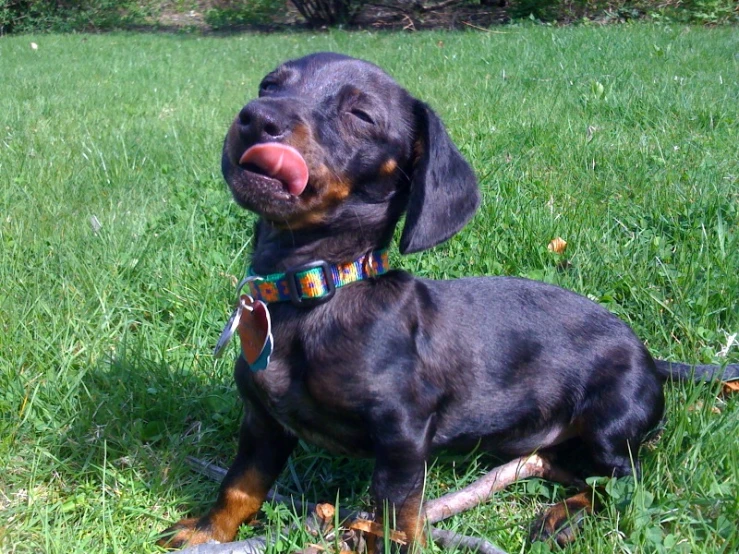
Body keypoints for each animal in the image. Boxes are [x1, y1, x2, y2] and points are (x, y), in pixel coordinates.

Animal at [159, 52, 736, 548]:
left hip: (611, 429)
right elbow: (241, 484)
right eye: (269, 85)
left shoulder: (402, 435)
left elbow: (394, 513)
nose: (257, 119)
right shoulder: (262, 423)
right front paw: (206, 531)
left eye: (360, 114)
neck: (318, 291)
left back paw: (561, 518)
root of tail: (648, 356)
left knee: (625, 484)